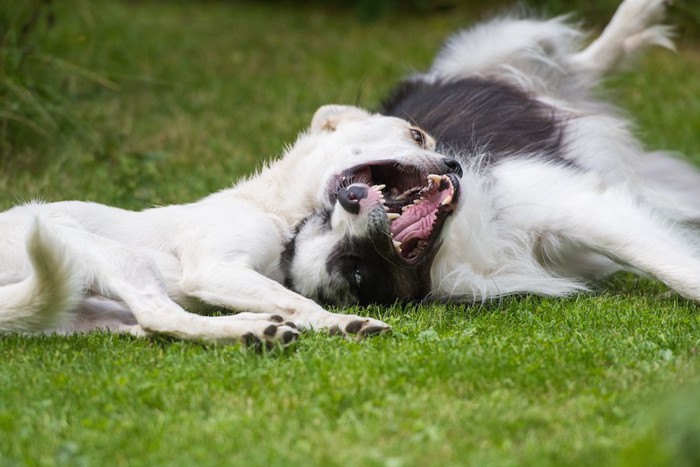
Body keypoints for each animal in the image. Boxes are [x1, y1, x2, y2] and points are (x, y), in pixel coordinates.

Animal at [0, 106, 460, 348]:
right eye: (416, 135)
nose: (455, 166)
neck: (273, 211)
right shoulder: (215, 268)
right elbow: (300, 302)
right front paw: (335, 320)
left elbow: (290, 300)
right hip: (111, 257)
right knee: (160, 315)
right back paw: (260, 329)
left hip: (89, 315)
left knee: (154, 326)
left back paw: (254, 330)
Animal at [284, 0, 700, 308]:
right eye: (356, 272)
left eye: (325, 217)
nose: (350, 197)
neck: (461, 238)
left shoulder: (571, 201)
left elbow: (668, 266)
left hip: (491, 54)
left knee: (569, 58)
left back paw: (634, 18)